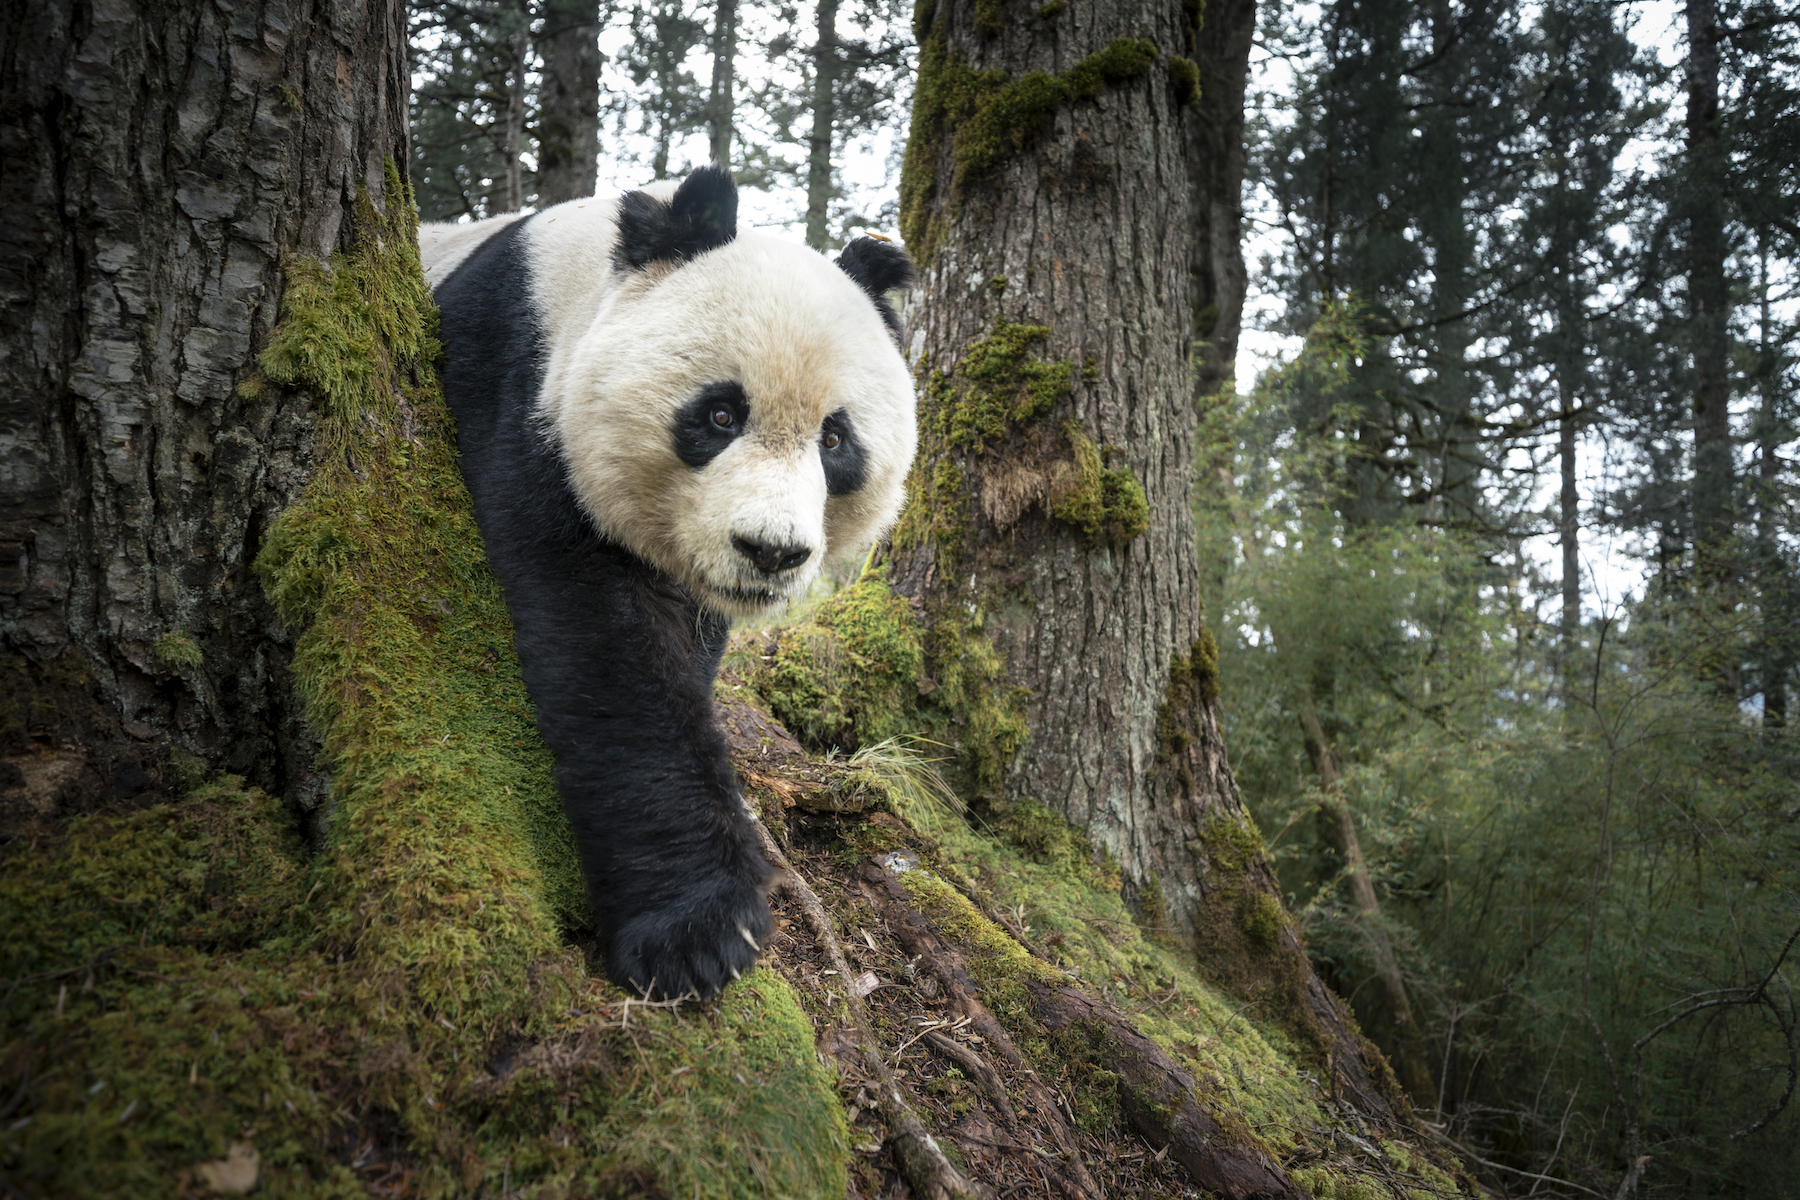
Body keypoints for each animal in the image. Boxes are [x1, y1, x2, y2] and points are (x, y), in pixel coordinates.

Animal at [421, 166, 917, 1000]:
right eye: (719, 414)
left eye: (835, 440)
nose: (770, 552)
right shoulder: (518, 391)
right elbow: (613, 653)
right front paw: (698, 932)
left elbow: (688, 641)